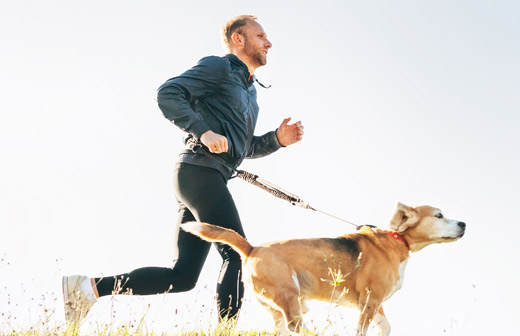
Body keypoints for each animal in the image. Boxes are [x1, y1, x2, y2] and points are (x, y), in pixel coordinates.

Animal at [181, 202, 466, 336]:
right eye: (439, 216)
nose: (464, 223)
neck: (397, 239)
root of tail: (252, 248)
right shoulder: (369, 301)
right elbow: (362, 329)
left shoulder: (375, 303)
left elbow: (385, 326)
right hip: (290, 298)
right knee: (296, 327)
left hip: (281, 307)